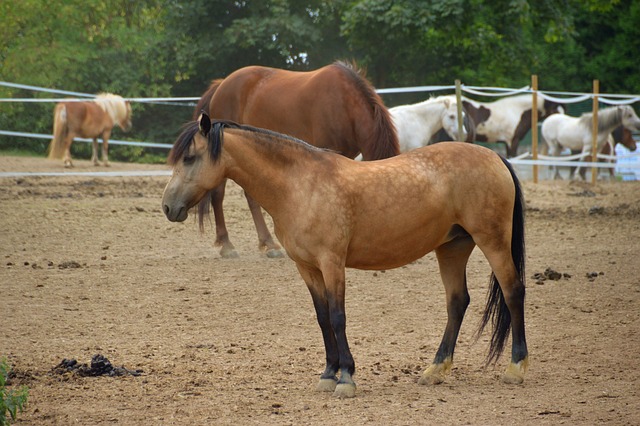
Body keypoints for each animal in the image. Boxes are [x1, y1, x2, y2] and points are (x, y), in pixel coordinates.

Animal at [162, 114, 528, 400]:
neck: (300, 185)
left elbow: (338, 317)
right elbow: (323, 318)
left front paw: (347, 378)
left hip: (492, 241)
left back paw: (516, 367)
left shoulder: (332, 263)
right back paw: (435, 369)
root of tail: (495, 158)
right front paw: (328, 374)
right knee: (457, 302)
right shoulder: (307, 267)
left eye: (190, 158)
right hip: (453, 247)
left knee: (513, 292)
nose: (168, 207)